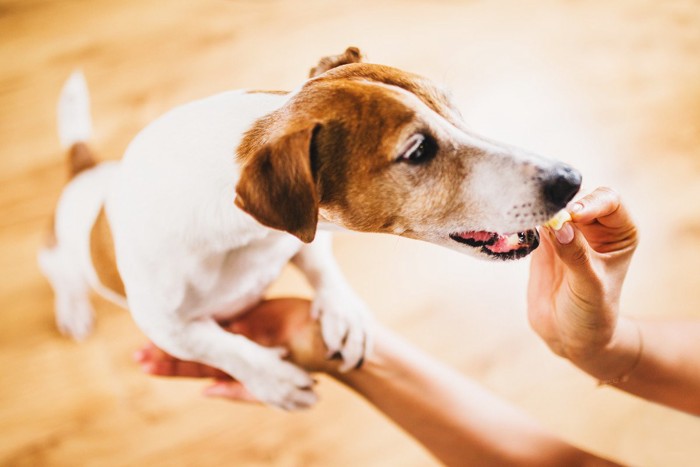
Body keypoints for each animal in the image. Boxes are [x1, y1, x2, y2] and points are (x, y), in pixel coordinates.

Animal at [41, 49, 584, 412]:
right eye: (417, 151)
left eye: (456, 109)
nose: (571, 178)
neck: (243, 238)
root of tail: (85, 172)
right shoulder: (163, 323)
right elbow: (217, 344)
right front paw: (273, 380)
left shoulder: (297, 234)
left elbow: (321, 265)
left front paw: (344, 315)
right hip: (60, 256)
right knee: (59, 273)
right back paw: (72, 308)